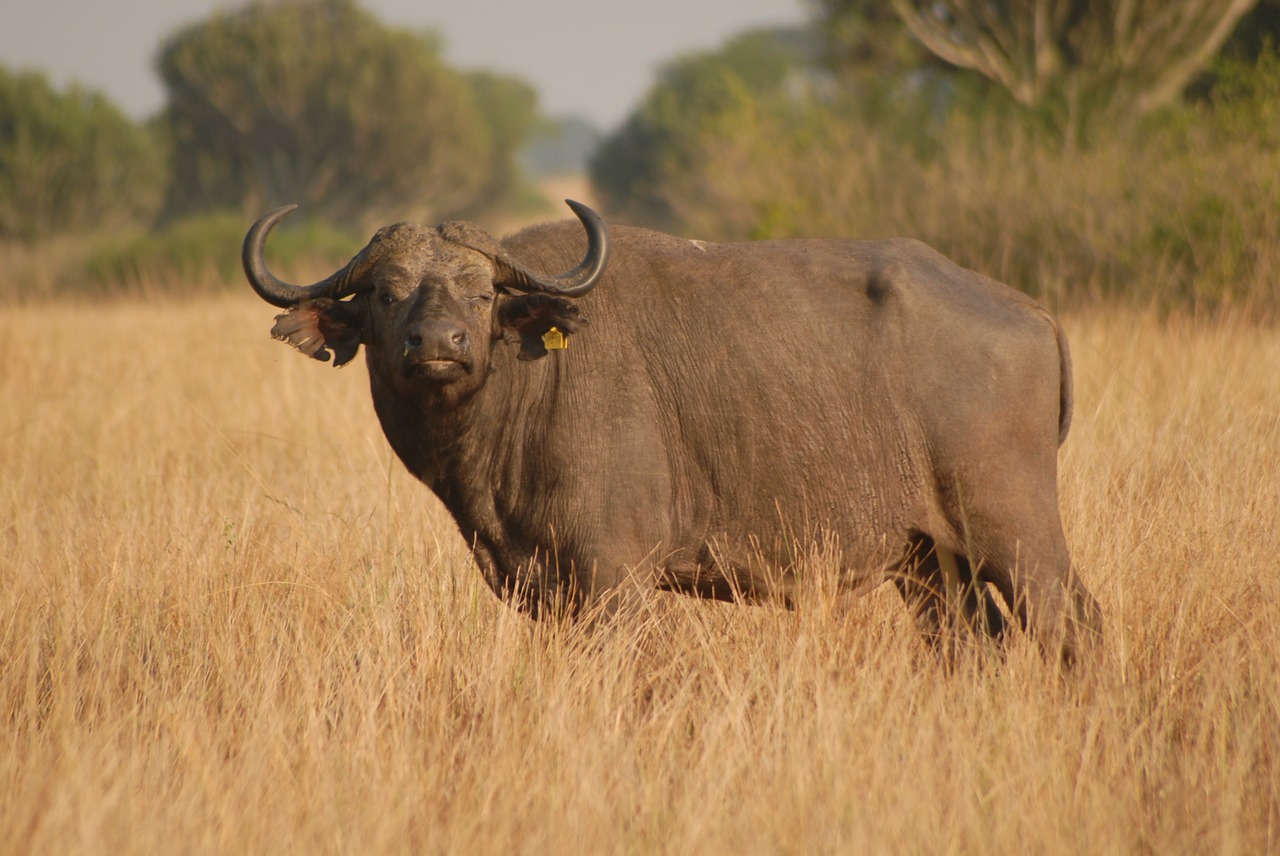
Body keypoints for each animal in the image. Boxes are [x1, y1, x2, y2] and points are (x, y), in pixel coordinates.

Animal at [247, 198, 1100, 660]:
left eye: (482, 294)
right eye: (387, 295)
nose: (437, 344)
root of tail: (1029, 310)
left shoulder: (612, 579)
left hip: (1015, 535)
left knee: (1073, 625)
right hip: (929, 564)